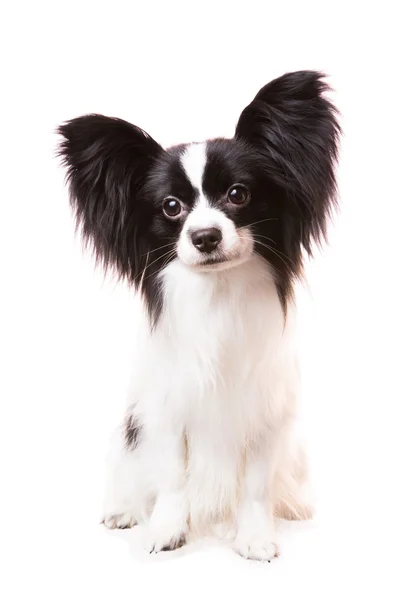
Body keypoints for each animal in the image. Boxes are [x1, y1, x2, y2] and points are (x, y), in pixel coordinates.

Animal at [58, 70, 340, 564]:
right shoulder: (167, 411)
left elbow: (255, 488)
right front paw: (166, 530)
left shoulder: (264, 415)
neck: (218, 294)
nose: (205, 236)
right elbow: (172, 480)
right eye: (171, 206)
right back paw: (122, 510)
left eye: (238, 194)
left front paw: (255, 536)